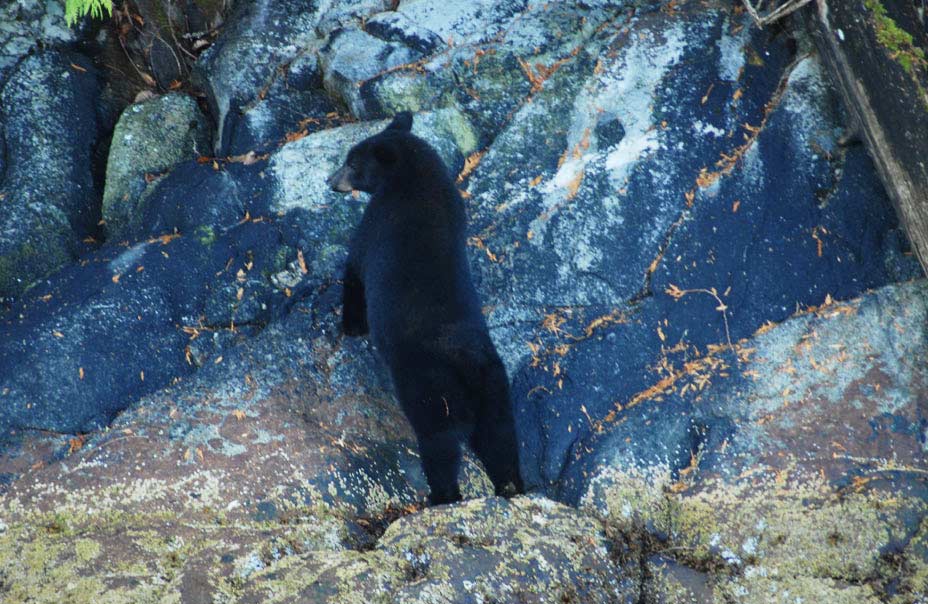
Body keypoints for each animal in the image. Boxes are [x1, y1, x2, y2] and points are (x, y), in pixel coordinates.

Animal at [327, 112, 524, 505]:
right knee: (500, 439)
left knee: (439, 445)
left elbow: (354, 268)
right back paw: (511, 486)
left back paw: (441, 495)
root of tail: (469, 365)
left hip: (430, 390)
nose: (330, 181)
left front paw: (352, 324)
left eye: (353, 163)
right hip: (495, 390)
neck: (414, 176)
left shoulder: (376, 223)